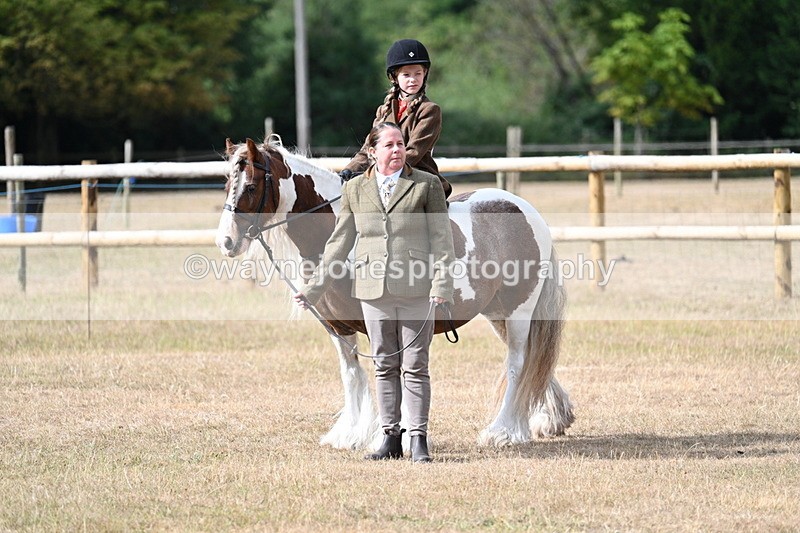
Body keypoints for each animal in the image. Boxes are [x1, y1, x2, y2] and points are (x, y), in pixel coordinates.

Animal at [215, 137, 574, 449]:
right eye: (226, 183)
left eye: (250, 186)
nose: (226, 242)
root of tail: (525, 210)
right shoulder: (337, 326)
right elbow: (352, 374)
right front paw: (349, 434)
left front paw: (385, 437)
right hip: (497, 312)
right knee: (533, 361)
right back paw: (548, 419)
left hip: (519, 310)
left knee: (517, 363)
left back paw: (502, 431)